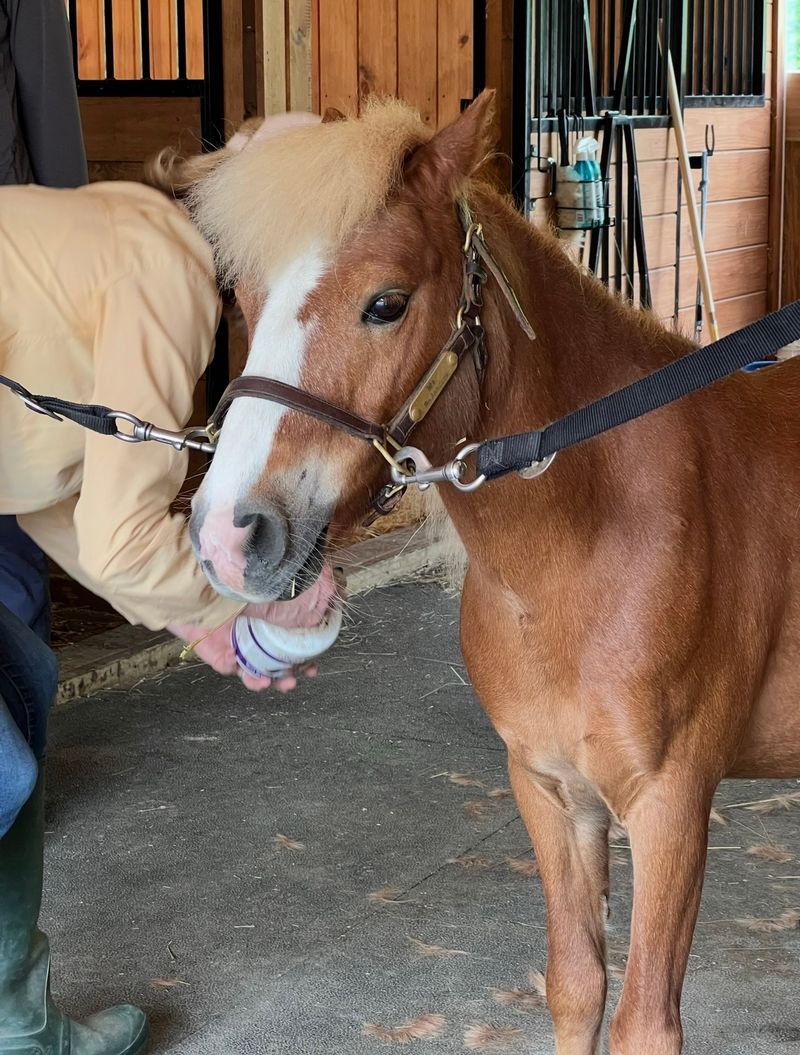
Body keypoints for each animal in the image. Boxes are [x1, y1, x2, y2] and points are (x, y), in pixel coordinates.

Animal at [162, 91, 800, 1053]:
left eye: (386, 303)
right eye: (245, 299)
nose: (232, 534)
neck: (591, 548)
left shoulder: (672, 808)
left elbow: (644, 1019)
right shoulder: (551, 791)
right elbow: (576, 986)